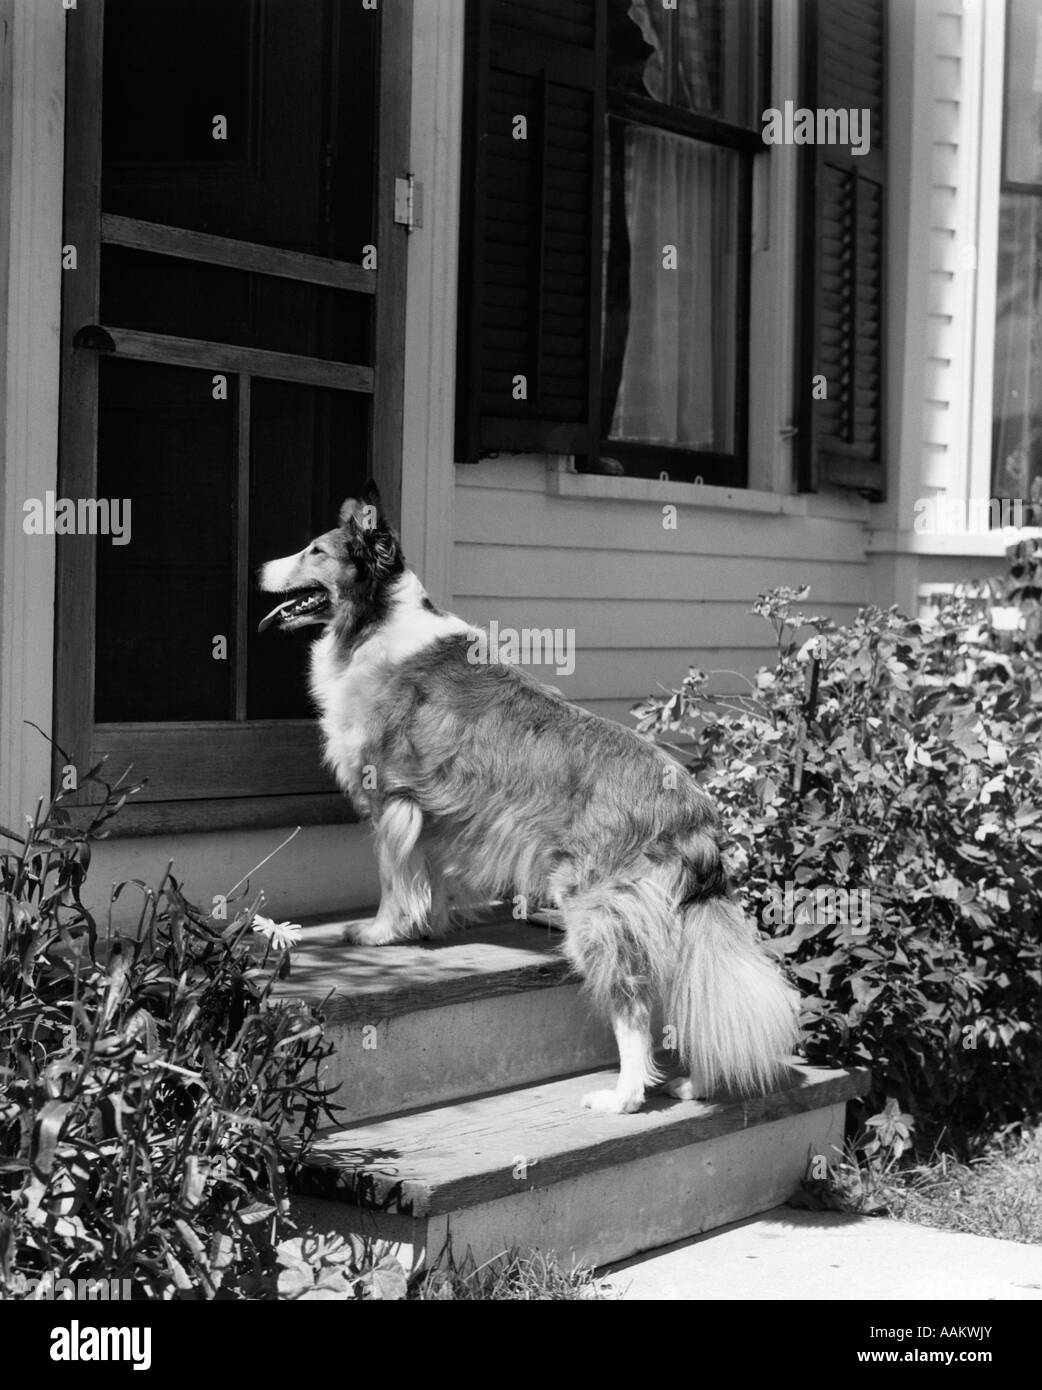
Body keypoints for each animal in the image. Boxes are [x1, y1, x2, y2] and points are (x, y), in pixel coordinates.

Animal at [259, 483, 800, 1112]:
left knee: (633, 1004)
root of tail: (696, 810)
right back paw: (695, 1084)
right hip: (667, 920)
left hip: (595, 909)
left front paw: (378, 933)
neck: (377, 620)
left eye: (315, 551)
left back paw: (623, 1098)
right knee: (687, 993)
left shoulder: (394, 800)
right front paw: (434, 924)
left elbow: (395, 879)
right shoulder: (437, 816)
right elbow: (431, 875)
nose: (258, 570)